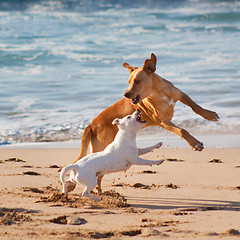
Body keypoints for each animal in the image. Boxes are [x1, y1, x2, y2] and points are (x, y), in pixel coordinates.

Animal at [66, 53, 218, 193]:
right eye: (128, 82)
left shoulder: (180, 95)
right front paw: (195, 144)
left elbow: (195, 107)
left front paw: (209, 115)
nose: (125, 94)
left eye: (137, 81)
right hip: (101, 148)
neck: (158, 93)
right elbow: (182, 130)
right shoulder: (164, 122)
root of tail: (91, 124)